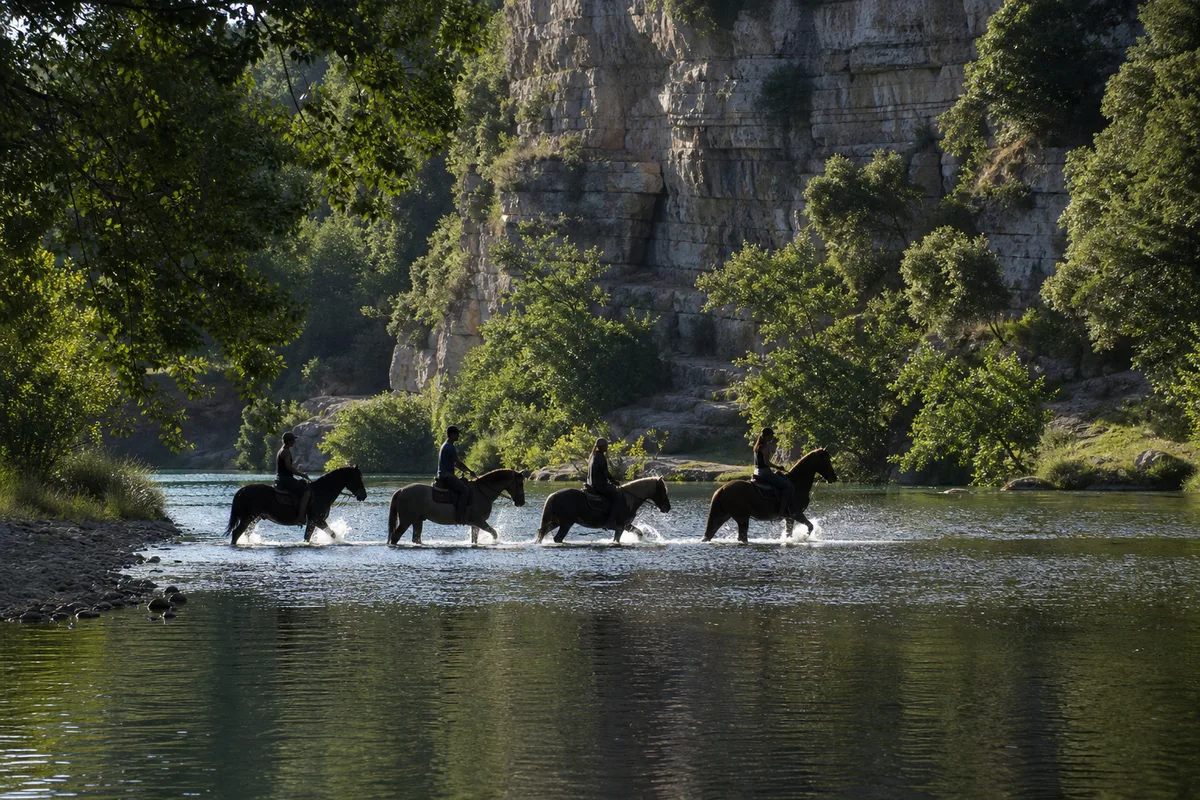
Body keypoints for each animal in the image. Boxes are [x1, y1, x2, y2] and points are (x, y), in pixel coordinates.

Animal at [224, 465, 368, 545]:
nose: (364, 495)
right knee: (237, 533)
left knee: (245, 533)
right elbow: (329, 534)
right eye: (357, 478)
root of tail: (242, 490)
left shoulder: (315, 522)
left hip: (255, 518)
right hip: (248, 517)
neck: (322, 491)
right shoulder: (316, 520)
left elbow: (312, 537)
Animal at [387, 469, 526, 545]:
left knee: (416, 538)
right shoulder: (479, 521)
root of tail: (401, 491)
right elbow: (494, 533)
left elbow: (474, 539)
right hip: (407, 520)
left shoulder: (475, 524)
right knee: (395, 536)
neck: (482, 492)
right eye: (520, 483)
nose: (521, 502)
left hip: (417, 520)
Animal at [537, 477, 671, 544]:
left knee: (542, 534)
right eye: (663, 490)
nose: (668, 508)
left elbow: (639, 532)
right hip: (566, 524)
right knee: (557, 538)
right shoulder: (620, 526)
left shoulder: (626, 525)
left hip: (556, 522)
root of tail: (553, 495)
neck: (629, 498)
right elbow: (616, 539)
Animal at [703, 447, 837, 543]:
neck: (796, 483)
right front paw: (804, 537)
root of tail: (722, 489)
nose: (834, 477)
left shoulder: (790, 517)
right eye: (826, 460)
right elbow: (810, 526)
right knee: (742, 537)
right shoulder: (796, 514)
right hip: (742, 518)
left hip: (723, 516)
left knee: (710, 533)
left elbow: (790, 533)